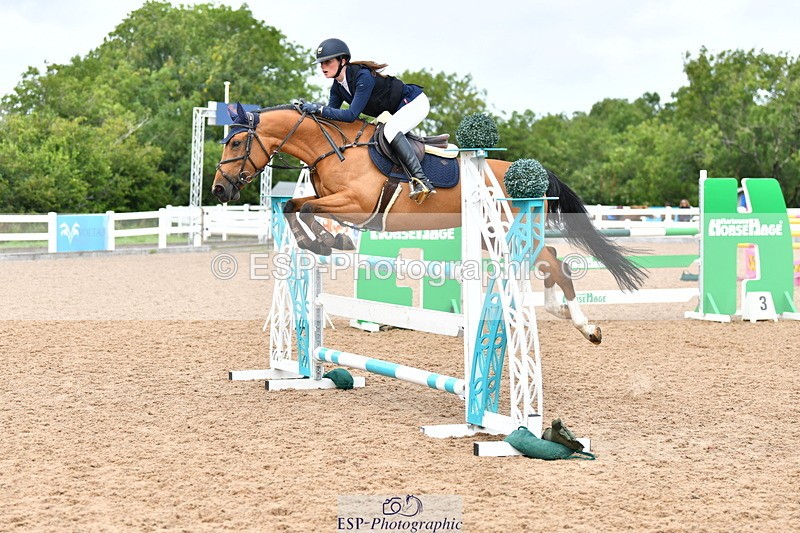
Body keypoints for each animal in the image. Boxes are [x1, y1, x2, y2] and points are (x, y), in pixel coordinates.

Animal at [212, 103, 647, 344]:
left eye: (236, 142)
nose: (218, 189)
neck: (332, 149)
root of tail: (533, 174)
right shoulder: (334, 203)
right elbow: (296, 207)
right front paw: (324, 243)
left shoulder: (356, 204)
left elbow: (300, 208)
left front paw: (327, 243)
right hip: (492, 236)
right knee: (549, 258)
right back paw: (560, 311)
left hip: (503, 230)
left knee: (555, 263)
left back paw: (586, 327)